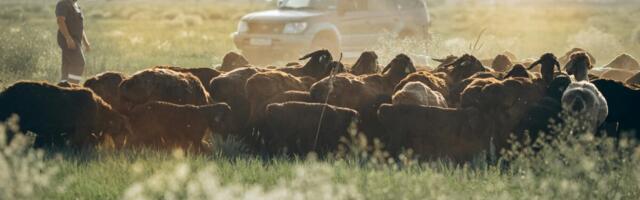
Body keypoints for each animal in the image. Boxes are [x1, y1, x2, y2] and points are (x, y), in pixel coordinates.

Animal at [0, 81, 131, 148]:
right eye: (122, 131)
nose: (120, 147)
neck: (99, 110)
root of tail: (6, 92)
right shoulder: (81, 131)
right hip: (18, 127)